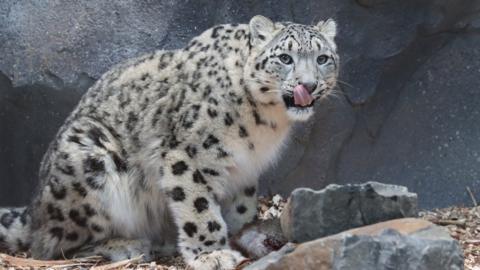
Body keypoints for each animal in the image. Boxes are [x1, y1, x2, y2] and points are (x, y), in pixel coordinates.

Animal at [0, 15, 338, 270]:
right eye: (285, 58)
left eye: (323, 58)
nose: (309, 85)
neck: (265, 124)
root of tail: (35, 208)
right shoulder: (186, 154)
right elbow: (198, 207)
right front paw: (211, 254)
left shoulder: (245, 167)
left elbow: (241, 207)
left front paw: (243, 235)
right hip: (90, 161)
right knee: (52, 246)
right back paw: (127, 245)